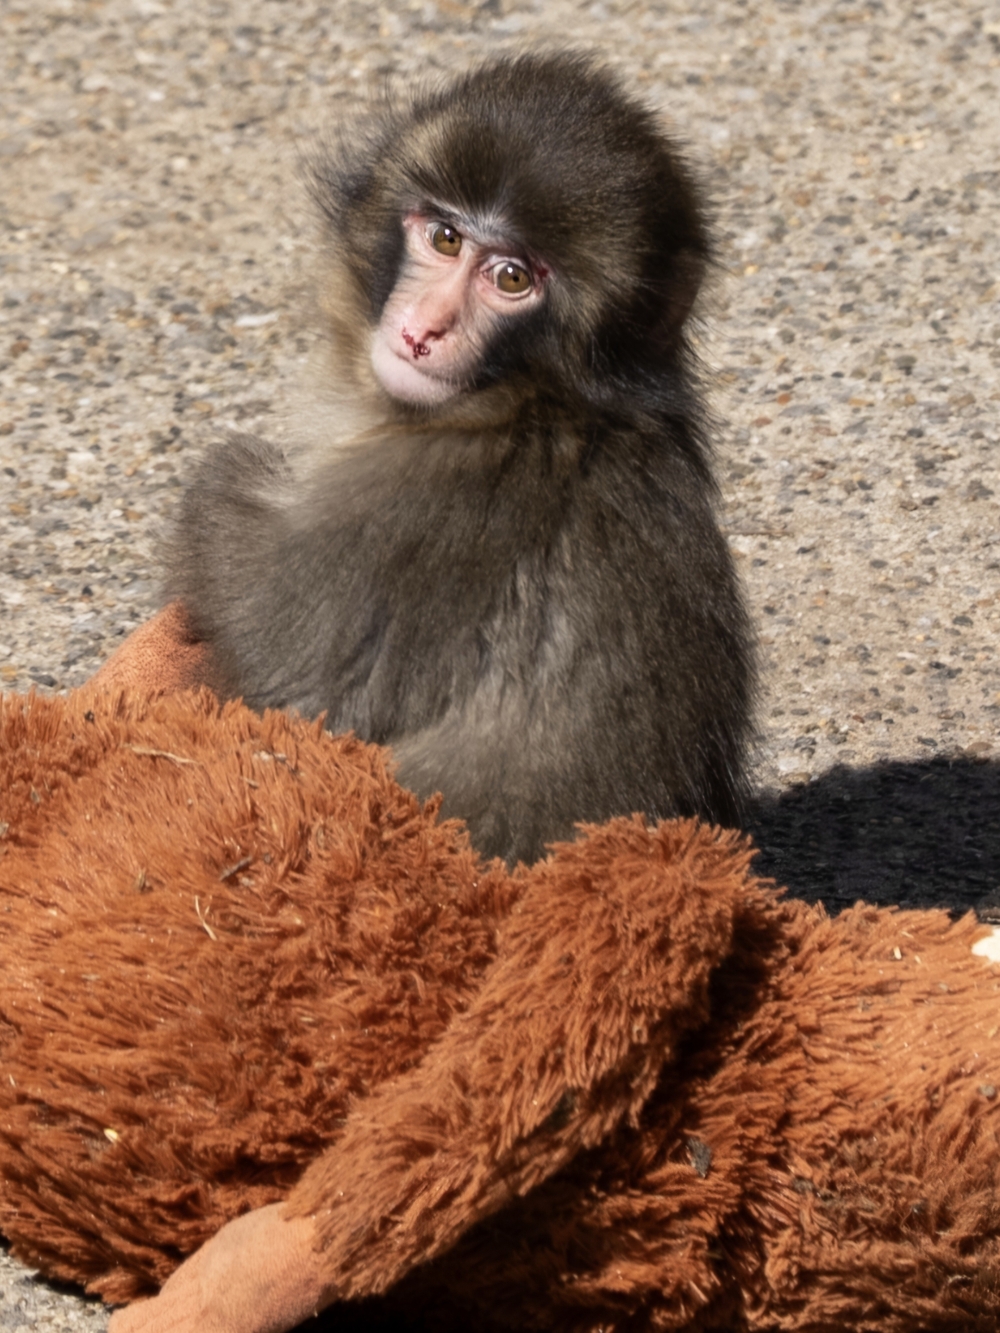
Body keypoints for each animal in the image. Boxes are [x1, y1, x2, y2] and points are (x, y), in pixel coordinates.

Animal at [166, 52, 755, 866]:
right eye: (445, 238)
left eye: (512, 278)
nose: (423, 331)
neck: (535, 403)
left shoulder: (418, 509)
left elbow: (287, 680)